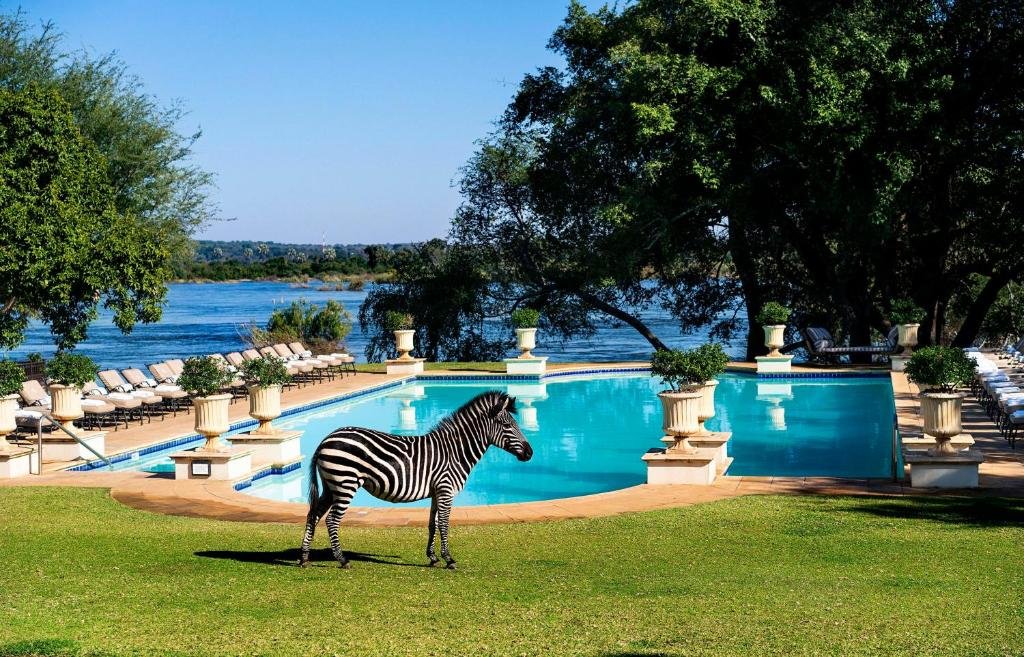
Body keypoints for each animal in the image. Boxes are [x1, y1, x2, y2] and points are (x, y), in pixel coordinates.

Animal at [299, 390, 533, 569]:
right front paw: (448, 559)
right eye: (508, 426)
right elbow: (445, 524)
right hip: (345, 483)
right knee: (331, 520)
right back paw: (342, 559)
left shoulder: (437, 491)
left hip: (331, 486)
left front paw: (432, 557)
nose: (530, 453)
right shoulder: (446, 490)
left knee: (313, 515)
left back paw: (304, 558)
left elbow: (433, 523)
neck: (456, 451)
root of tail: (326, 439)